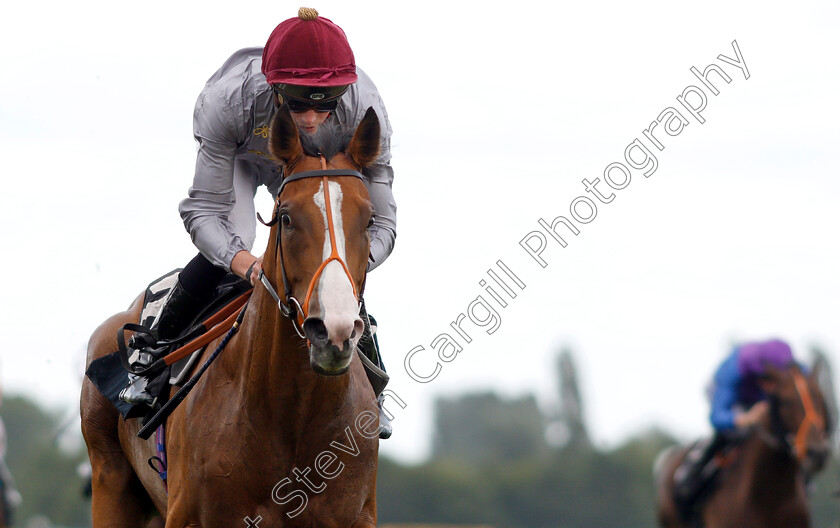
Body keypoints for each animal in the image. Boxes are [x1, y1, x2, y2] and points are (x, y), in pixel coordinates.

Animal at [80, 105, 382, 524]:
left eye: (369, 220)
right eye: (286, 218)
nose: (333, 332)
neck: (293, 415)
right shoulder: (190, 516)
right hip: (110, 479)